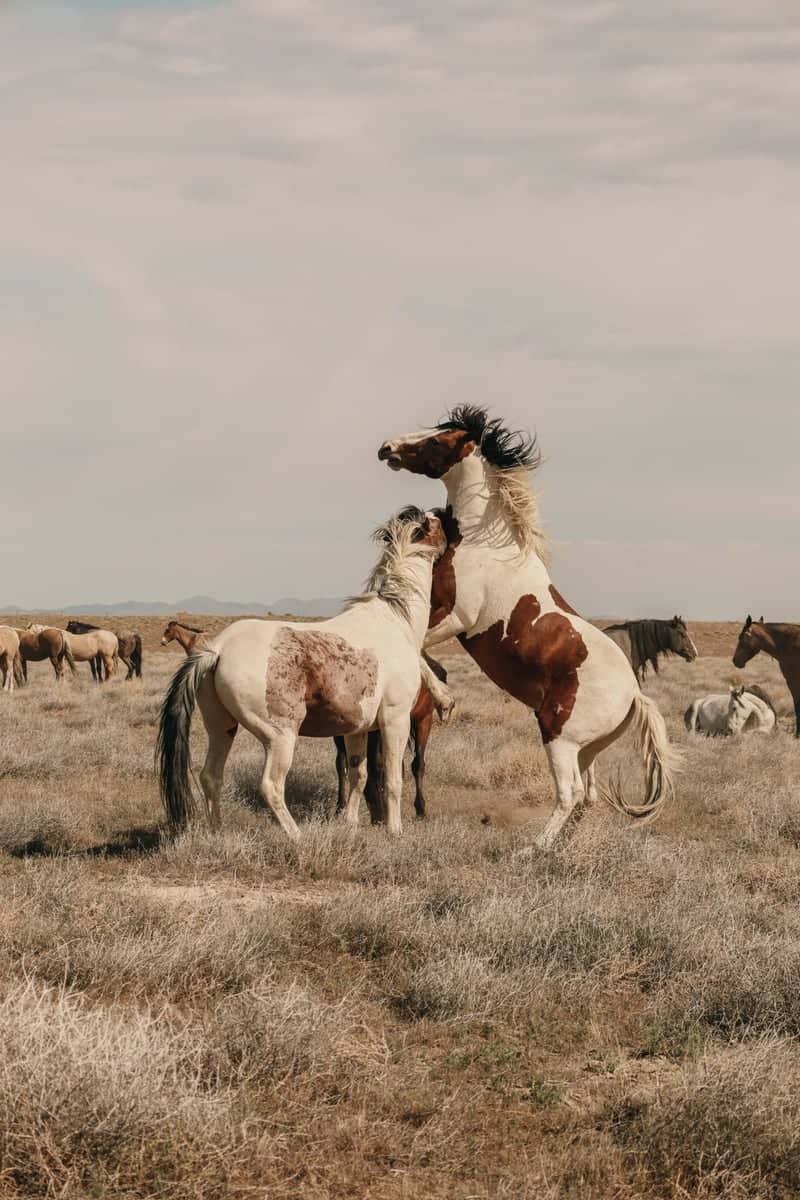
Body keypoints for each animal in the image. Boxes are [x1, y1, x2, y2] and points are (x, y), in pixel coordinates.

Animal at [378, 405, 680, 850]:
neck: (485, 544)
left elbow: (416, 647)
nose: (387, 447)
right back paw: (561, 848)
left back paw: (532, 849)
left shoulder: (456, 616)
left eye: (437, 439)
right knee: (587, 796)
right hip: (587, 748)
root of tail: (634, 696)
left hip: (558, 734)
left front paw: (446, 700)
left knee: (570, 793)